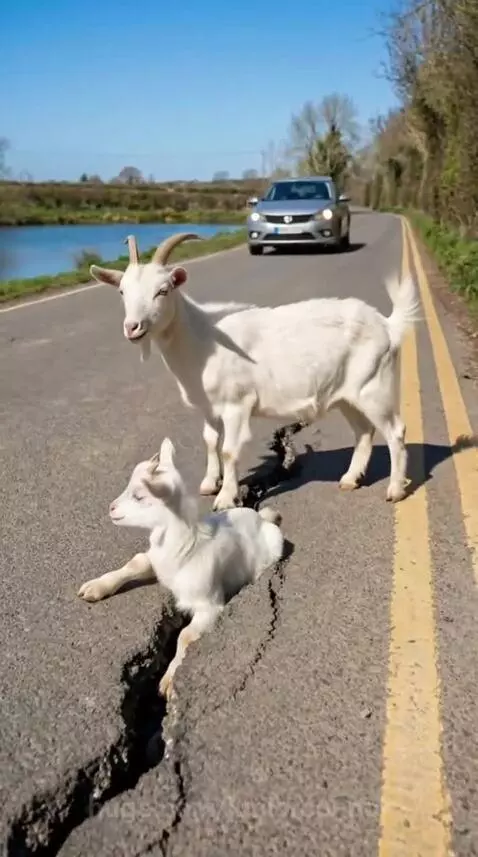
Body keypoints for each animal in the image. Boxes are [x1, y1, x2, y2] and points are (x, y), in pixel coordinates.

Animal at [77, 437, 284, 699]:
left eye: (139, 496)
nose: (111, 508)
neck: (186, 547)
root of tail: (261, 517)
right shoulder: (155, 560)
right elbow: (136, 562)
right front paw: (96, 586)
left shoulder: (209, 605)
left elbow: (185, 636)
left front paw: (168, 681)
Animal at [90, 232, 421, 510]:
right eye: (122, 292)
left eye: (163, 290)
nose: (133, 327)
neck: (203, 339)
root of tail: (387, 325)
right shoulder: (208, 407)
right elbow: (210, 441)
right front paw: (209, 483)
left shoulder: (237, 405)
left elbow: (229, 450)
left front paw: (225, 498)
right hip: (346, 395)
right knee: (364, 431)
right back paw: (351, 479)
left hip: (374, 386)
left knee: (395, 431)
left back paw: (395, 489)